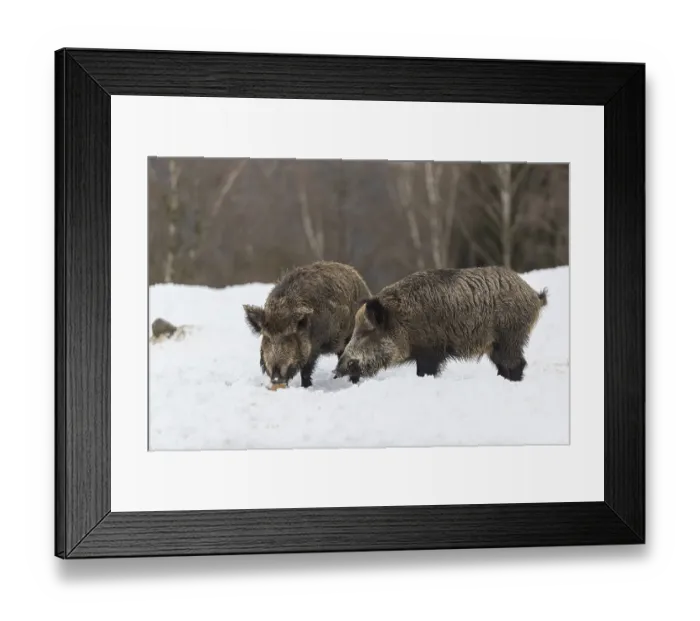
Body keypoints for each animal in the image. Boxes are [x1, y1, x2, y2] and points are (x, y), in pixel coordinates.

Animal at [243, 261, 372, 388]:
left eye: (288, 337)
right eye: (267, 337)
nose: (276, 378)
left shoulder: (313, 348)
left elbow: (306, 370)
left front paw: (306, 387)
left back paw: (353, 383)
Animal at [335, 266, 548, 383]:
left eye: (366, 332)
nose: (338, 369)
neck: (403, 321)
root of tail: (534, 295)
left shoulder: (431, 351)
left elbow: (425, 372)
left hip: (510, 336)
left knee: (517, 363)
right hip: (497, 344)